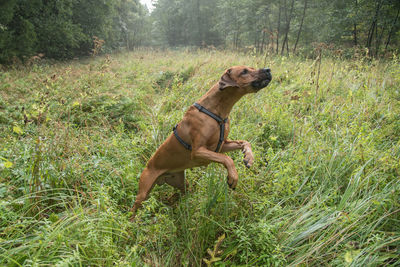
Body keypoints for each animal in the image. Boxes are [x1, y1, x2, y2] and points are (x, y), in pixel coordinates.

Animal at [131, 66, 272, 219]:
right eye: (244, 71)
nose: (268, 69)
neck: (216, 109)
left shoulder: (222, 145)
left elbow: (245, 142)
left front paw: (248, 157)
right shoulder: (198, 151)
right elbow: (227, 159)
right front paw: (233, 177)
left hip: (181, 183)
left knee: (179, 195)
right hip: (143, 192)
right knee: (135, 207)